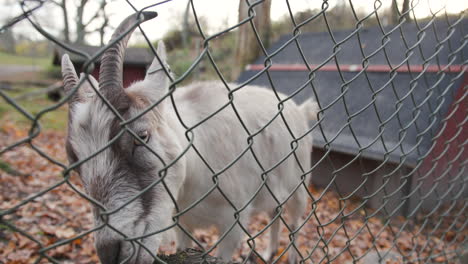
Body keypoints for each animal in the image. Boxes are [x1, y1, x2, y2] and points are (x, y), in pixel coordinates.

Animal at [61, 11, 318, 262]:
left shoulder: (232, 223)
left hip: (299, 187)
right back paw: (269, 252)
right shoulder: (183, 224)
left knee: (295, 221)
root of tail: (299, 109)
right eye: (75, 161)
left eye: (141, 136)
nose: (110, 253)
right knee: (275, 213)